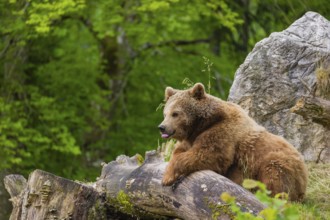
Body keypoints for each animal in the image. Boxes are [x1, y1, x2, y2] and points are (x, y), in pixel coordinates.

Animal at [159, 82, 308, 201]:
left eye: (175, 113)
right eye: (165, 113)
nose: (162, 127)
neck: (202, 124)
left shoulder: (222, 132)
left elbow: (207, 155)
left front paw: (167, 177)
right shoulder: (191, 138)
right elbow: (180, 151)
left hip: (278, 162)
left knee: (275, 178)